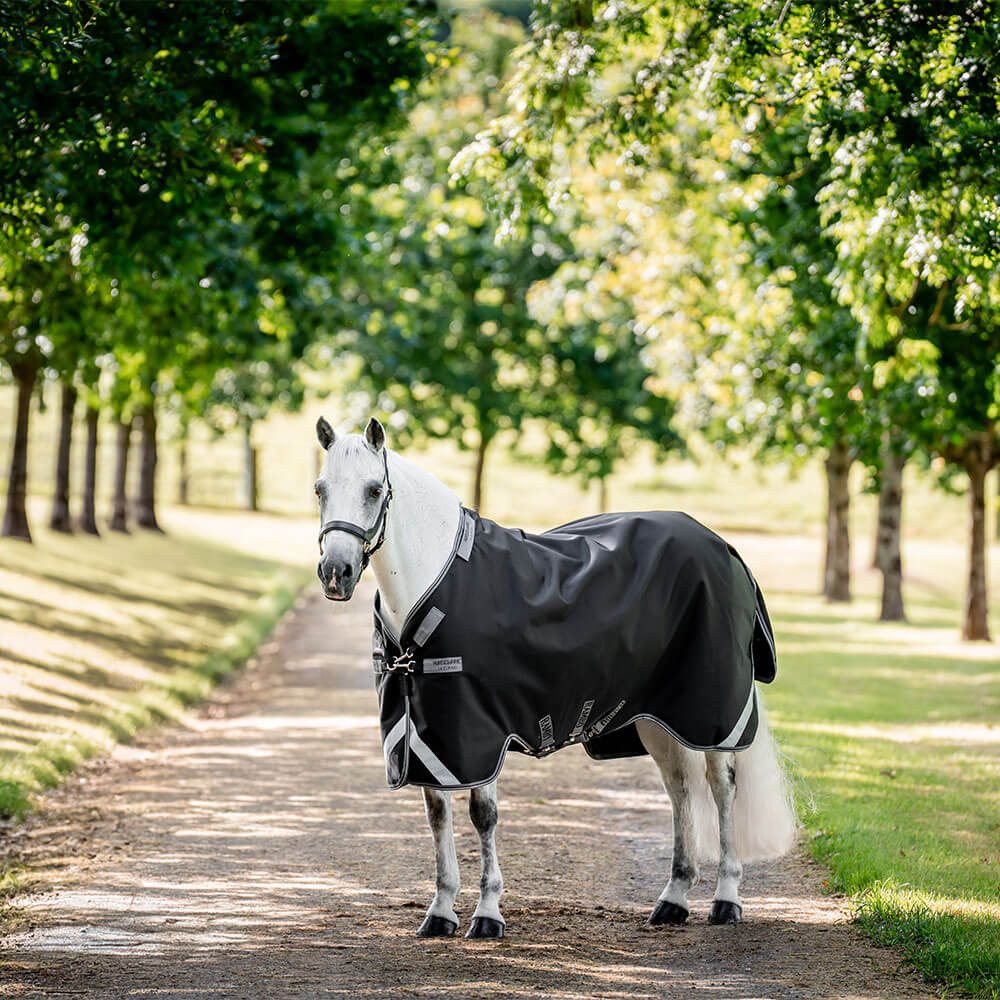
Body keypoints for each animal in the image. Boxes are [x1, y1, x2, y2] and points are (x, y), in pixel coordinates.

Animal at [313, 416, 797, 940]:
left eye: (374, 489)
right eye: (320, 489)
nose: (336, 573)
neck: (434, 581)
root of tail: (723, 546)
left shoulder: (479, 732)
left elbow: (483, 816)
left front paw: (487, 913)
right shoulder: (431, 736)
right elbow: (438, 814)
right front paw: (440, 911)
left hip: (712, 712)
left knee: (721, 786)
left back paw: (726, 899)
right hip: (656, 717)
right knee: (680, 789)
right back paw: (673, 899)